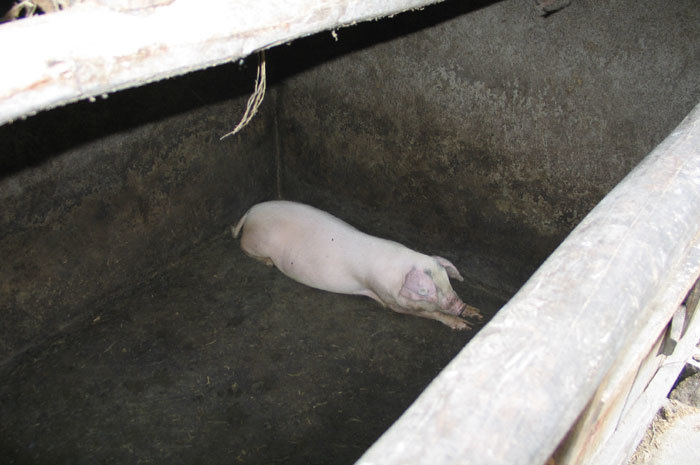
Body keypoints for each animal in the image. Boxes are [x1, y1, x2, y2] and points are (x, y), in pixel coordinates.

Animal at [232, 200, 482, 330]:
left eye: (447, 280)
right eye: (425, 291)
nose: (458, 304)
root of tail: (250, 212)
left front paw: (475, 314)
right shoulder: (387, 298)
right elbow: (425, 313)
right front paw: (463, 325)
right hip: (254, 243)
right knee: (243, 247)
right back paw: (268, 263)